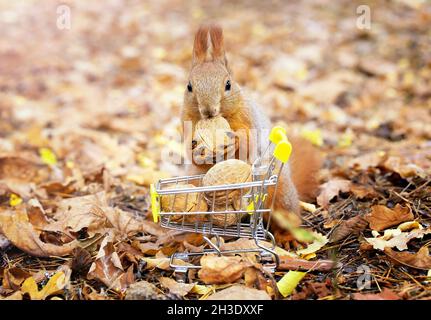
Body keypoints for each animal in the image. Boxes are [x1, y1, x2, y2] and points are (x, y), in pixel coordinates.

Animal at [181, 23, 322, 216]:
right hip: (194, 184)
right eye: (189, 86)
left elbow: (249, 142)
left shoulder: (249, 118)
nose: (208, 111)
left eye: (228, 84)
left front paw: (235, 141)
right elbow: (192, 153)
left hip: (279, 190)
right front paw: (198, 151)